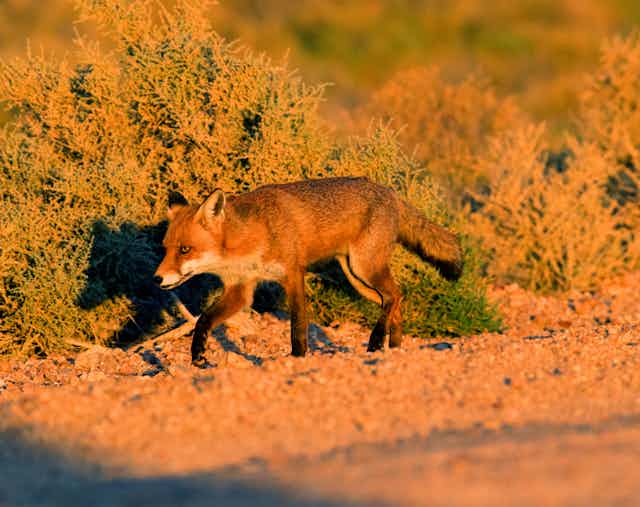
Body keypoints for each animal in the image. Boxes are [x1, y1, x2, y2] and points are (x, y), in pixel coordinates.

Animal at [153, 176, 463, 366]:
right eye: (166, 248)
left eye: (185, 249)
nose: (157, 279)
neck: (249, 240)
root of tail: (390, 192)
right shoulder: (240, 290)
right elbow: (203, 320)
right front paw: (197, 355)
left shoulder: (292, 275)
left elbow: (298, 326)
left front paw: (298, 357)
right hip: (358, 278)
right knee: (395, 300)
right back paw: (394, 347)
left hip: (365, 268)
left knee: (395, 296)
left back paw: (376, 341)